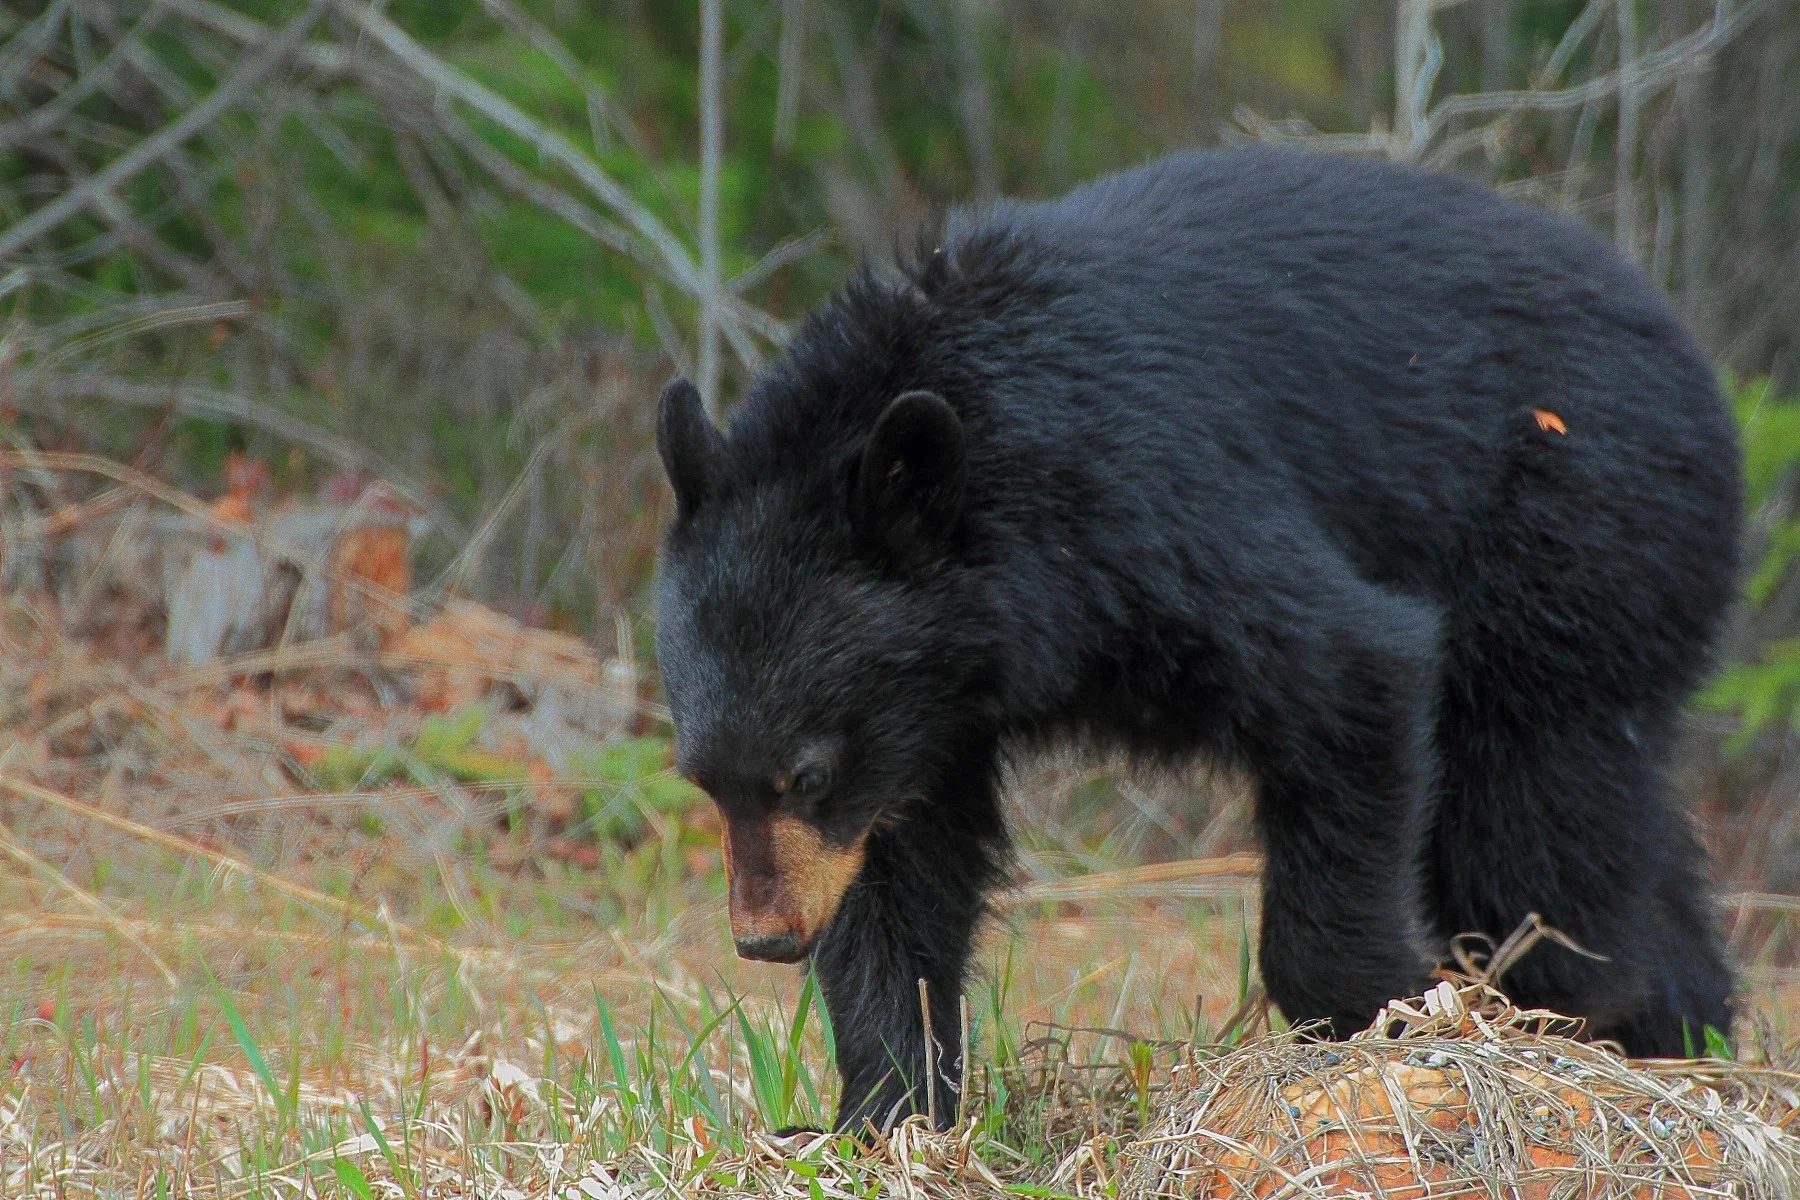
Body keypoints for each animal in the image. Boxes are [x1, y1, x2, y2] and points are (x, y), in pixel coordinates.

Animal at [651, 146, 1741, 1134]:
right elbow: (898, 877)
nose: (764, 937)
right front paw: (887, 1110)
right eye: (706, 780)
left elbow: (1352, 667)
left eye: (806, 773)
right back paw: (1689, 1037)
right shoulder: (924, 711)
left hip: (1571, 537)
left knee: (1528, 826)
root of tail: (1693, 360)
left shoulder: (1151, 501)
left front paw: (1377, 1021)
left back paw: (1589, 1022)